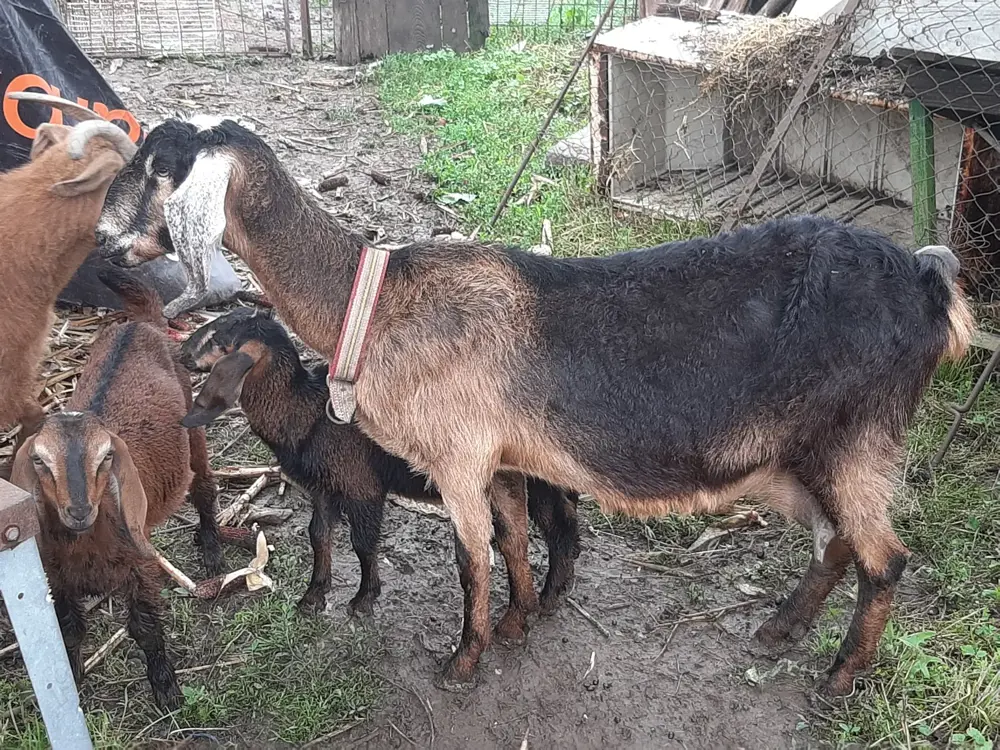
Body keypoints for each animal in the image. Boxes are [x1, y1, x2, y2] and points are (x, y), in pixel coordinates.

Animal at [8, 267, 226, 709]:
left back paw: (212, 548)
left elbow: (144, 626)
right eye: (39, 461)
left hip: (192, 424)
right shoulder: (56, 576)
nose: (78, 510)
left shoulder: (139, 564)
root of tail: (140, 322)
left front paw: (166, 689)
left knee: (203, 486)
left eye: (106, 456)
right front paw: (73, 681)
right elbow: (68, 630)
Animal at [177, 307, 581, 617]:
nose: (181, 353)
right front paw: (313, 596)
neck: (305, 413)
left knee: (558, 526)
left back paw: (548, 598)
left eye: (217, 338)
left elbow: (363, 543)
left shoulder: (362, 485)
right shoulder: (324, 488)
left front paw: (363, 599)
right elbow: (318, 535)